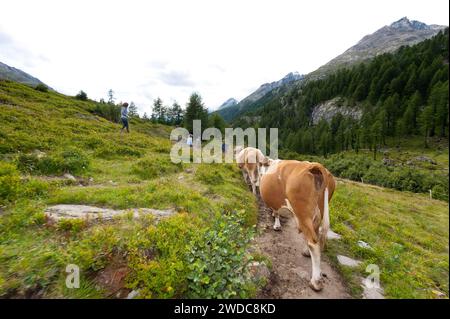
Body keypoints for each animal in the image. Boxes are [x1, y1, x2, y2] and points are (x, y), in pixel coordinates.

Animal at [260, 161, 334, 292]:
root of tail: (315, 166)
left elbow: (276, 212)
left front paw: (276, 225)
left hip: (302, 213)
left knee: (313, 243)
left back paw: (315, 282)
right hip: (318, 212)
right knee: (315, 235)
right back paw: (306, 252)